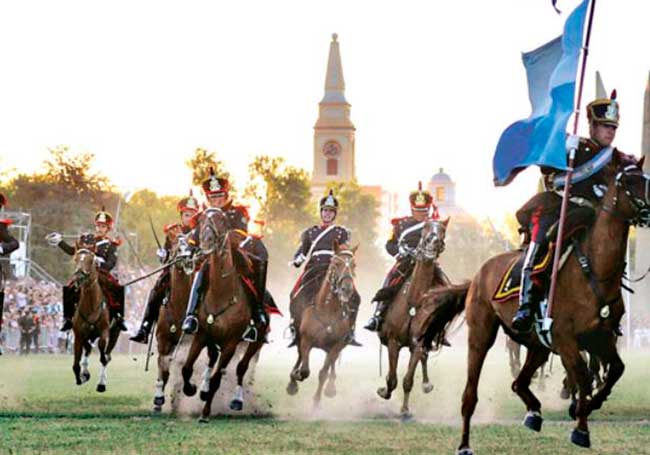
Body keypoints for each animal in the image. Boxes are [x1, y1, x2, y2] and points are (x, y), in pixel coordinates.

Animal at [70, 248, 120, 394]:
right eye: (76, 259)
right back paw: (85, 372)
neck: (91, 306)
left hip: (115, 334)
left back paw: (101, 383)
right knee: (87, 349)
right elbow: (76, 364)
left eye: (91, 260)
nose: (79, 277)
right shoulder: (78, 335)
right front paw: (81, 376)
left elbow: (102, 351)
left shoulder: (104, 331)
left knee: (107, 355)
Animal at [178, 210, 264, 424]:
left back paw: (236, 400)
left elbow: (218, 378)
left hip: (255, 342)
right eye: (201, 220)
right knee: (211, 359)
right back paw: (202, 389)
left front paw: (205, 412)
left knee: (241, 367)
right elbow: (187, 368)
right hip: (211, 338)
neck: (221, 294)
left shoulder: (231, 343)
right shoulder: (201, 335)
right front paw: (191, 389)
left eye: (222, 220)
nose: (207, 241)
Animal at [286, 244, 360, 408]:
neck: (327, 310)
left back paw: (331, 387)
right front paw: (295, 376)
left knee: (331, 364)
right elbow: (305, 370)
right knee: (300, 357)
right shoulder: (306, 340)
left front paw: (316, 402)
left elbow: (323, 373)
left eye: (354, 265)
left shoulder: (336, 345)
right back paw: (293, 381)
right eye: (336, 264)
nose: (347, 289)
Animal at [374, 219, 446, 418]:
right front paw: (384, 391)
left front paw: (405, 410)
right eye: (426, 228)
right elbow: (392, 379)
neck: (414, 301)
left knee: (424, 358)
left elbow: (408, 380)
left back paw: (426, 384)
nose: (432, 242)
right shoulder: (393, 342)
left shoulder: (418, 344)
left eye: (443, 230)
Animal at [418, 155, 644, 454]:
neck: (594, 271)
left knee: (519, 382)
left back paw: (535, 411)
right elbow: (583, 375)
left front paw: (590, 405)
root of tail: (478, 274)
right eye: (628, 181)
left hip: (537, 345)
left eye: (646, 179)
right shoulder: (566, 338)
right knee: (471, 394)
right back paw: (465, 443)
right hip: (481, 336)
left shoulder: (599, 338)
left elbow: (613, 370)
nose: (648, 209)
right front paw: (581, 427)